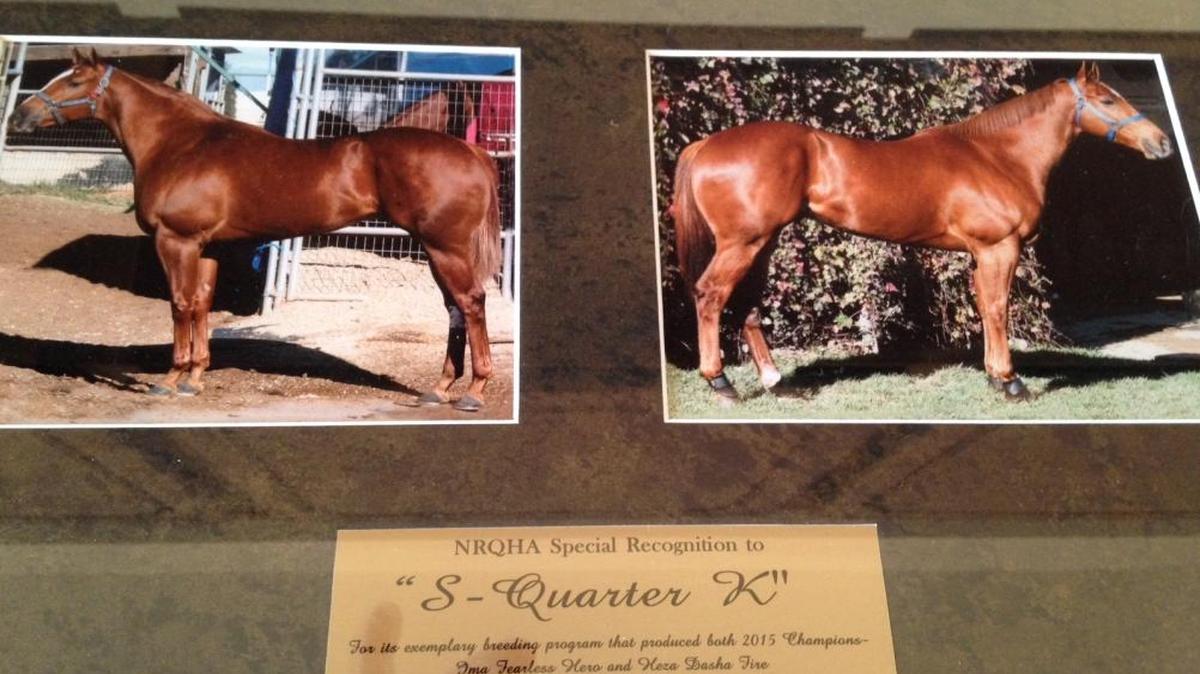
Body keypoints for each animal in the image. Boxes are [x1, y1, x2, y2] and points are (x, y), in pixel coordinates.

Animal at [7, 49, 502, 412]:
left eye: (73, 81)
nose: (18, 117)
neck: (181, 145)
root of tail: (470, 152)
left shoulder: (176, 242)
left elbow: (180, 305)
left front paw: (170, 378)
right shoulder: (207, 247)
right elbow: (201, 305)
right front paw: (195, 378)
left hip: (445, 249)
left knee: (471, 305)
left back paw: (474, 392)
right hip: (435, 251)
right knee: (454, 311)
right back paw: (439, 389)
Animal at [670, 62, 1174, 402]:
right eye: (1108, 100)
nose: (1162, 142)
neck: (997, 156)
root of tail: (706, 144)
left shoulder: (981, 254)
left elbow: (984, 309)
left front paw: (994, 376)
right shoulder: (999, 249)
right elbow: (997, 309)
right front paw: (1011, 382)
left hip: (762, 243)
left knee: (747, 307)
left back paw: (775, 382)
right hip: (743, 244)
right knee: (712, 296)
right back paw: (721, 383)